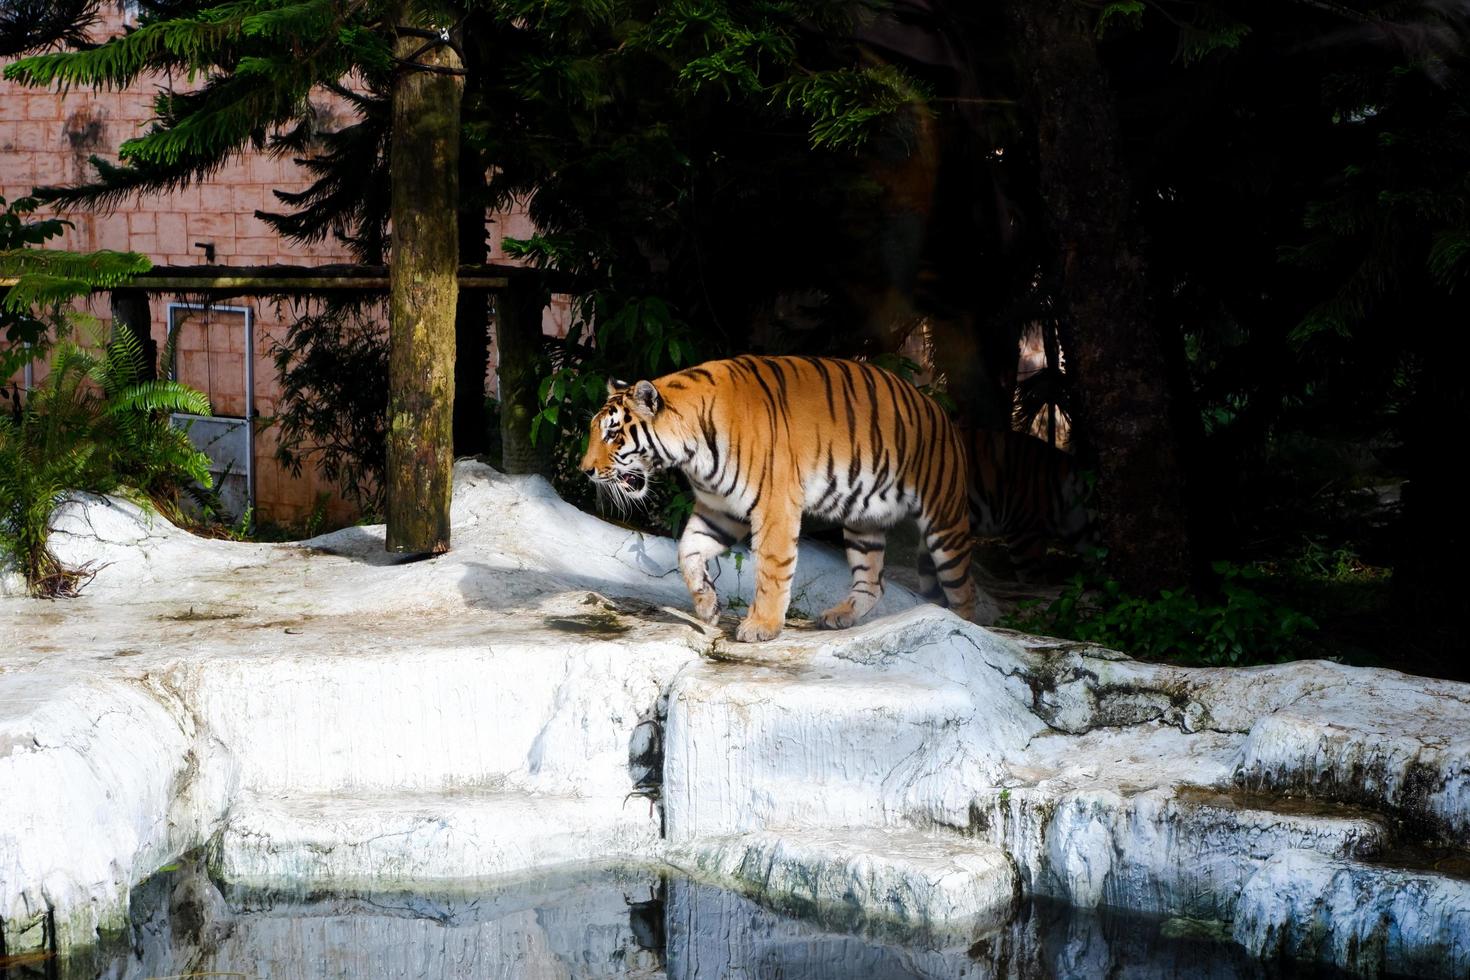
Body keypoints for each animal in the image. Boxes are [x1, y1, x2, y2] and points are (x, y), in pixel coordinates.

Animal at [576, 357, 976, 640]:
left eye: (612, 435)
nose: (585, 470)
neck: (691, 451)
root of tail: (940, 411)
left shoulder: (775, 507)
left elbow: (771, 568)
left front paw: (761, 627)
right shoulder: (719, 509)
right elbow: (687, 550)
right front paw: (707, 606)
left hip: (944, 523)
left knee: (963, 592)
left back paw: (966, 631)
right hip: (865, 522)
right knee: (873, 583)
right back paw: (840, 616)